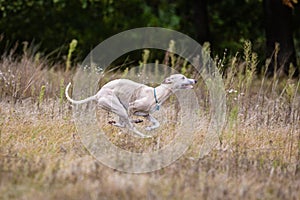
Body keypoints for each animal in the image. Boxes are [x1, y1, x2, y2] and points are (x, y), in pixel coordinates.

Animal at [65, 73, 197, 138]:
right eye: (183, 77)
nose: (195, 81)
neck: (157, 93)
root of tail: (97, 94)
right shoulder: (131, 106)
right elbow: (127, 123)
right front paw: (146, 130)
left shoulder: (146, 114)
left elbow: (157, 123)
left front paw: (149, 128)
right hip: (119, 107)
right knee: (127, 124)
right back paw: (144, 136)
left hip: (119, 108)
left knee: (123, 122)